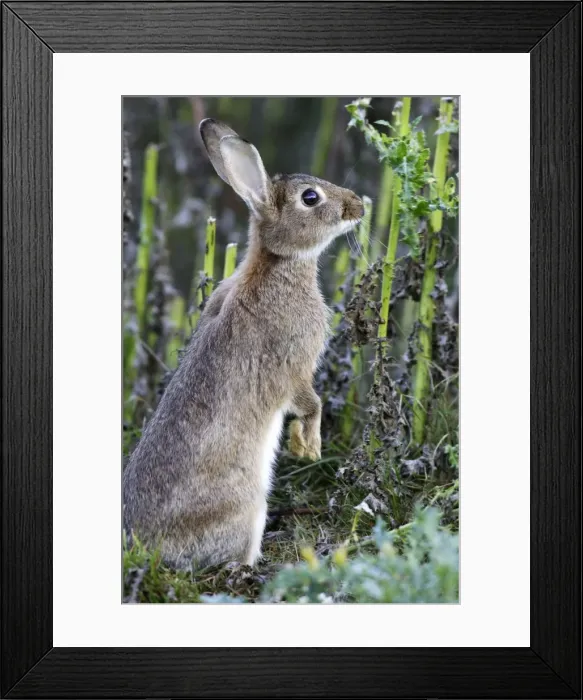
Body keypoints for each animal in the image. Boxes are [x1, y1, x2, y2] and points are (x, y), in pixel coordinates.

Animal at [123, 118, 364, 570]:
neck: (276, 264)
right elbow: (310, 403)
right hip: (247, 508)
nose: (358, 205)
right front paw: (309, 446)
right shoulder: (295, 363)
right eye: (310, 198)